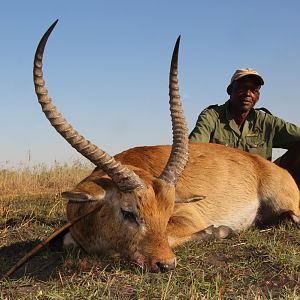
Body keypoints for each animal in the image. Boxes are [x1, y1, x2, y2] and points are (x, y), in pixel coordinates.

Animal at [32, 19, 300, 272]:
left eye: (168, 210)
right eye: (128, 212)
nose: (166, 264)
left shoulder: (187, 218)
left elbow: (175, 234)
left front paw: (219, 230)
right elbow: (67, 243)